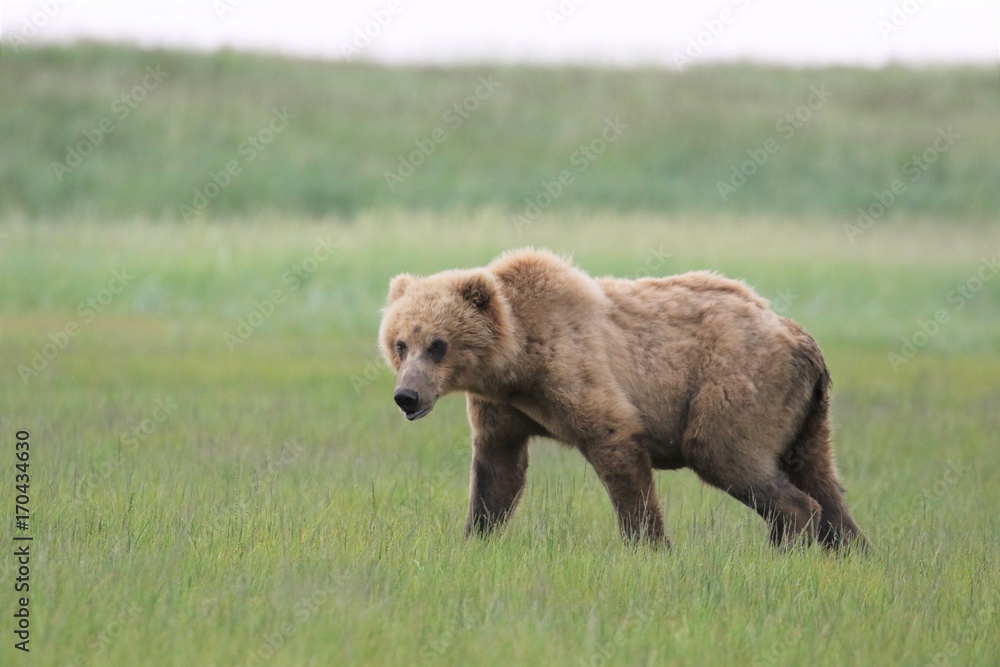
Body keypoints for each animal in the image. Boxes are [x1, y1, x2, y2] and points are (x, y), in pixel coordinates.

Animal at [379, 248, 868, 550]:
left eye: (438, 345)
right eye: (400, 344)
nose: (407, 396)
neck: (518, 360)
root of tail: (801, 337)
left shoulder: (578, 375)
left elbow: (618, 449)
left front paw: (650, 545)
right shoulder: (504, 409)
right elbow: (497, 474)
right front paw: (476, 538)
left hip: (739, 386)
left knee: (727, 454)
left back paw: (785, 544)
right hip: (804, 412)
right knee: (820, 476)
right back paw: (851, 549)